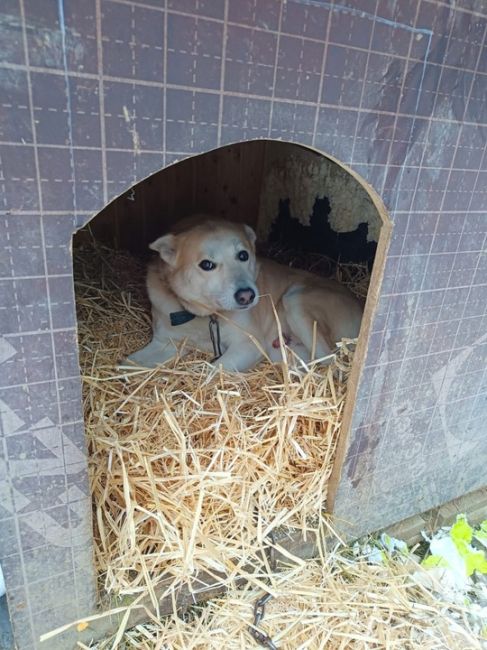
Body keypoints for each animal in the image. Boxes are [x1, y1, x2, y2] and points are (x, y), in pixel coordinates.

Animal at [126, 216, 362, 372]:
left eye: (243, 255)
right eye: (206, 264)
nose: (247, 296)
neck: (206, 317)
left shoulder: (248, 345)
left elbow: (213, 370)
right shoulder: (164, 343)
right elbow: (127, 364)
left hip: (295, 301)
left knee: (332, 364)